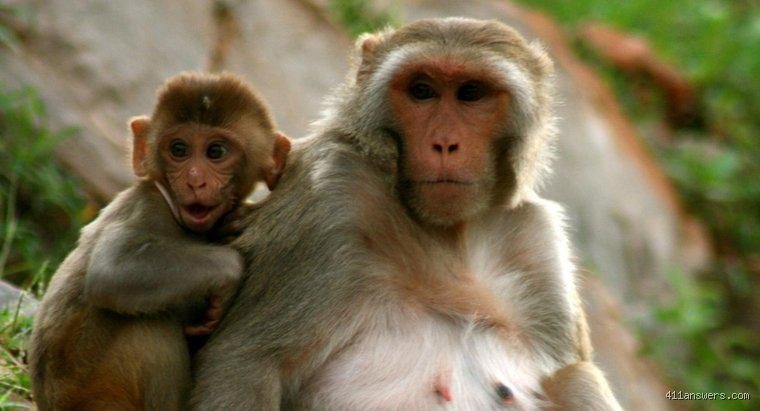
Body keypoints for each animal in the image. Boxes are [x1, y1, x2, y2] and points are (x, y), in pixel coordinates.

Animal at [28, 71, 291, 411]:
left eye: (216, 152)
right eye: (178, 149)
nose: (194, 180)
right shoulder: (148, 207)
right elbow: (111, 270)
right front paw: (229, 273)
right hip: (87, 387)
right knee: (150, 323)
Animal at [191, 18, 621, 410]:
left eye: (471, 93)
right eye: (421, 91)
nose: (444, 143)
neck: (448, 238)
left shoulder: (536, 240)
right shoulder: (329, 199)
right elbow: (245, 364)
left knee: (575, 378)